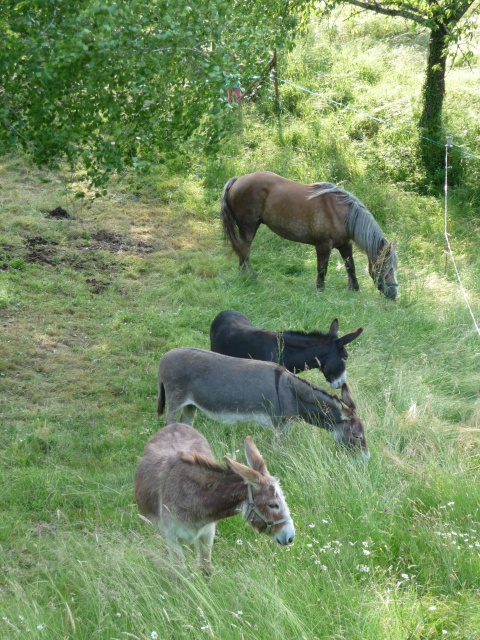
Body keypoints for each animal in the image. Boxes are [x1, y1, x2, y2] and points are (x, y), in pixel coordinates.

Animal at [133, 422, 294, 572]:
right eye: (272, 505)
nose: (291, 537)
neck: (194, 498)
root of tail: (176, 424)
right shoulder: (173, 538)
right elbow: (180, 573)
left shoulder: (207, 533)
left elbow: (206, 569)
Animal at [157, 348, 368, 458]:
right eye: (357, 436)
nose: (366, 461)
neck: (291, 393)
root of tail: (164, 357)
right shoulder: (281, 427)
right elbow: (279, 450)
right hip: (175, 401)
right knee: (169, 425)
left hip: (190, 406)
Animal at [220, 170, 398, 300]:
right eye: (384, 266)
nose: (394, 295)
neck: (343, 214)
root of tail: (237, 180)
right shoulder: (323, 246)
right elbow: (322, 269)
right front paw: (320, 290)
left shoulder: (345, 245)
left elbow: (350, 267)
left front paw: (355, 290)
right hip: (248, 228)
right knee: (244, 251)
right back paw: (250, 277)